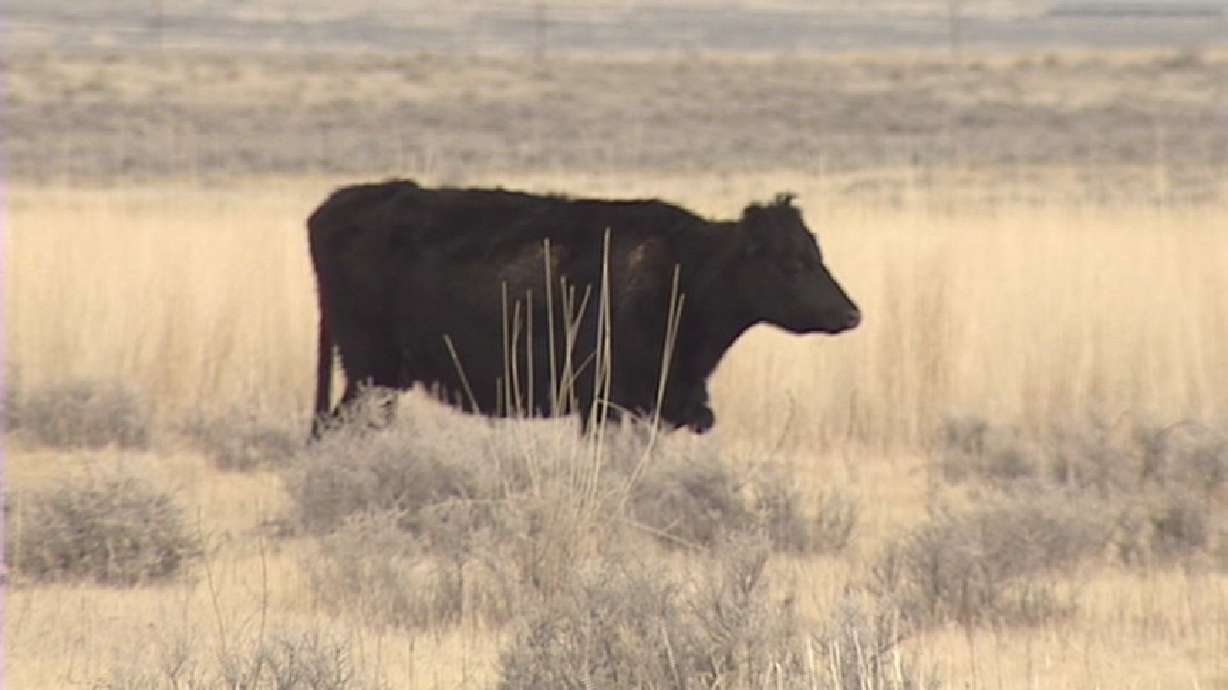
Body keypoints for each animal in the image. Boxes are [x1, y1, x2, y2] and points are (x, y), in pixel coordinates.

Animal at [307, 179, 859, 438]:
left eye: (817, 253)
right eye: (792, 263)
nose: (851, 314)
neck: (686, 267)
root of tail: (336, 206)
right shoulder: (607, 408)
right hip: (370, 374)